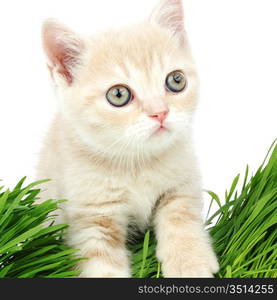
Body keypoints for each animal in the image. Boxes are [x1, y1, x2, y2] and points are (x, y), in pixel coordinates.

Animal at [36, 0, 218, 278]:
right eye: (118, 94)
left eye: (176, 80)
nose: (160, 112)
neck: (136, 162)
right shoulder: (91, 219)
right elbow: (102, 266)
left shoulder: (183, 184)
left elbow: (181, 218)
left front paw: (190, 263)